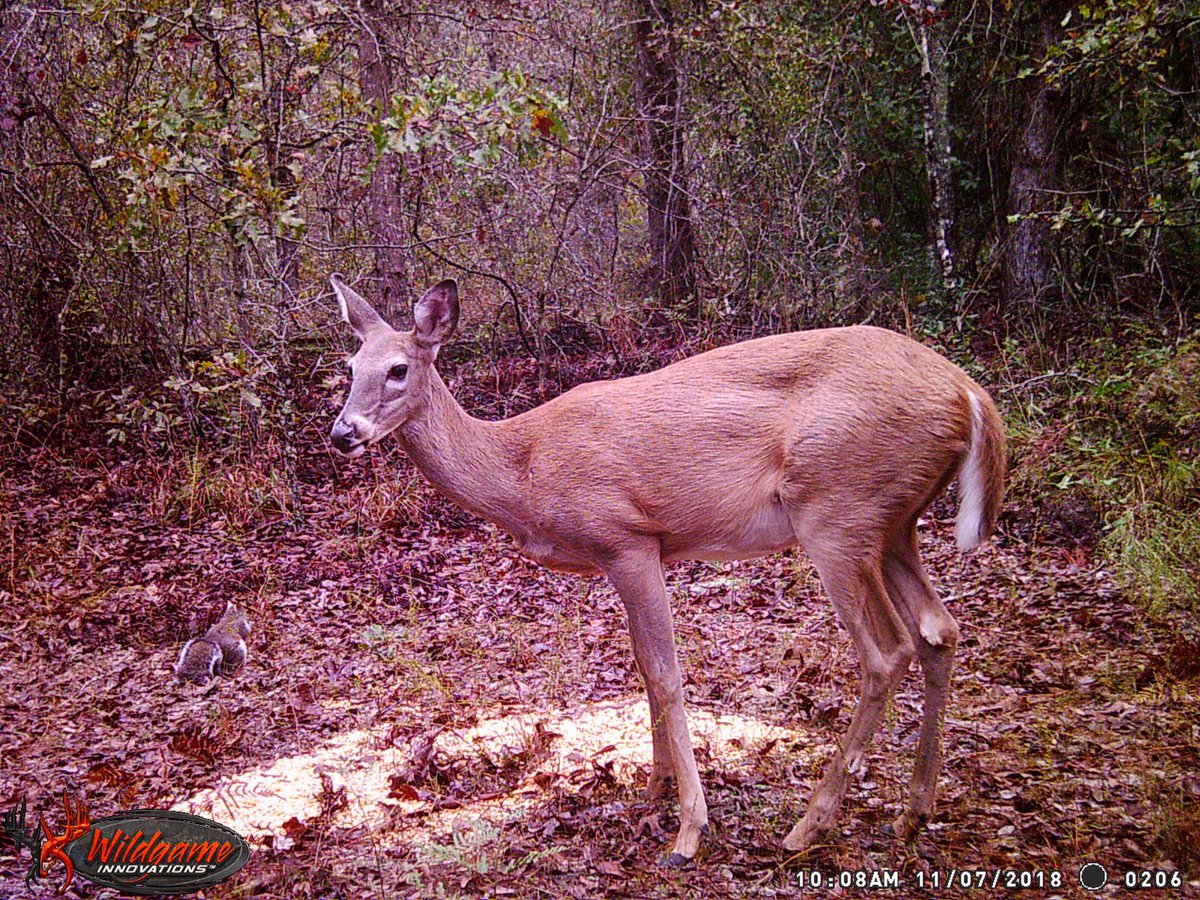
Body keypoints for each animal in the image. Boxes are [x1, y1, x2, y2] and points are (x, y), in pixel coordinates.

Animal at [327, 274, 1005, 866]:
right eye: (351, 368)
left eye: (398, 369)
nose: (342, 433)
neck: (522, 468)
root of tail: (970, 396)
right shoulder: (628, 555)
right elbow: (643, 670)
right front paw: (653, 789)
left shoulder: (625, 537)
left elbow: (665, 672)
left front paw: (689, 829)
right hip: (894, 522)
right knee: (939, 630)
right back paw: (912, 812)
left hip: (837, 509)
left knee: (887, 651)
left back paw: (808, 824)